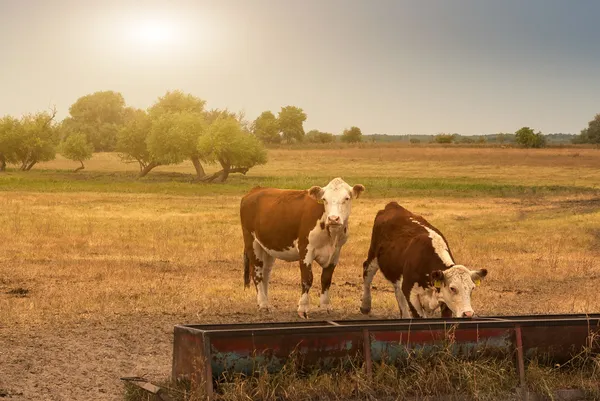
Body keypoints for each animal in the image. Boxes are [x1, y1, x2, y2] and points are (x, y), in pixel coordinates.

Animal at [240, 177, 366, 318]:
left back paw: (266, 302)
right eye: (324, 199)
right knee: (257, 273)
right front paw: (303, 308)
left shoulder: (336, 252)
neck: (331, 235)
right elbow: (307, 279)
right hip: (252, 242)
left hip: (268, 247)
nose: (333, 219)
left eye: (346, 198)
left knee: (265, 274)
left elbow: (326, 279)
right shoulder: (306, 250)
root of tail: (256, 190)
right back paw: (263, 304)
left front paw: (325, 306)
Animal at [358, 202, 486, 318]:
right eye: (452, 288)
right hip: (373, 254)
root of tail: (392, 205)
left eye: (472, 288)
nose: (468, 314)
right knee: (367, 273)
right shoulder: (411, 293)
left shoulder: (444, 300)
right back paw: (365, 306)